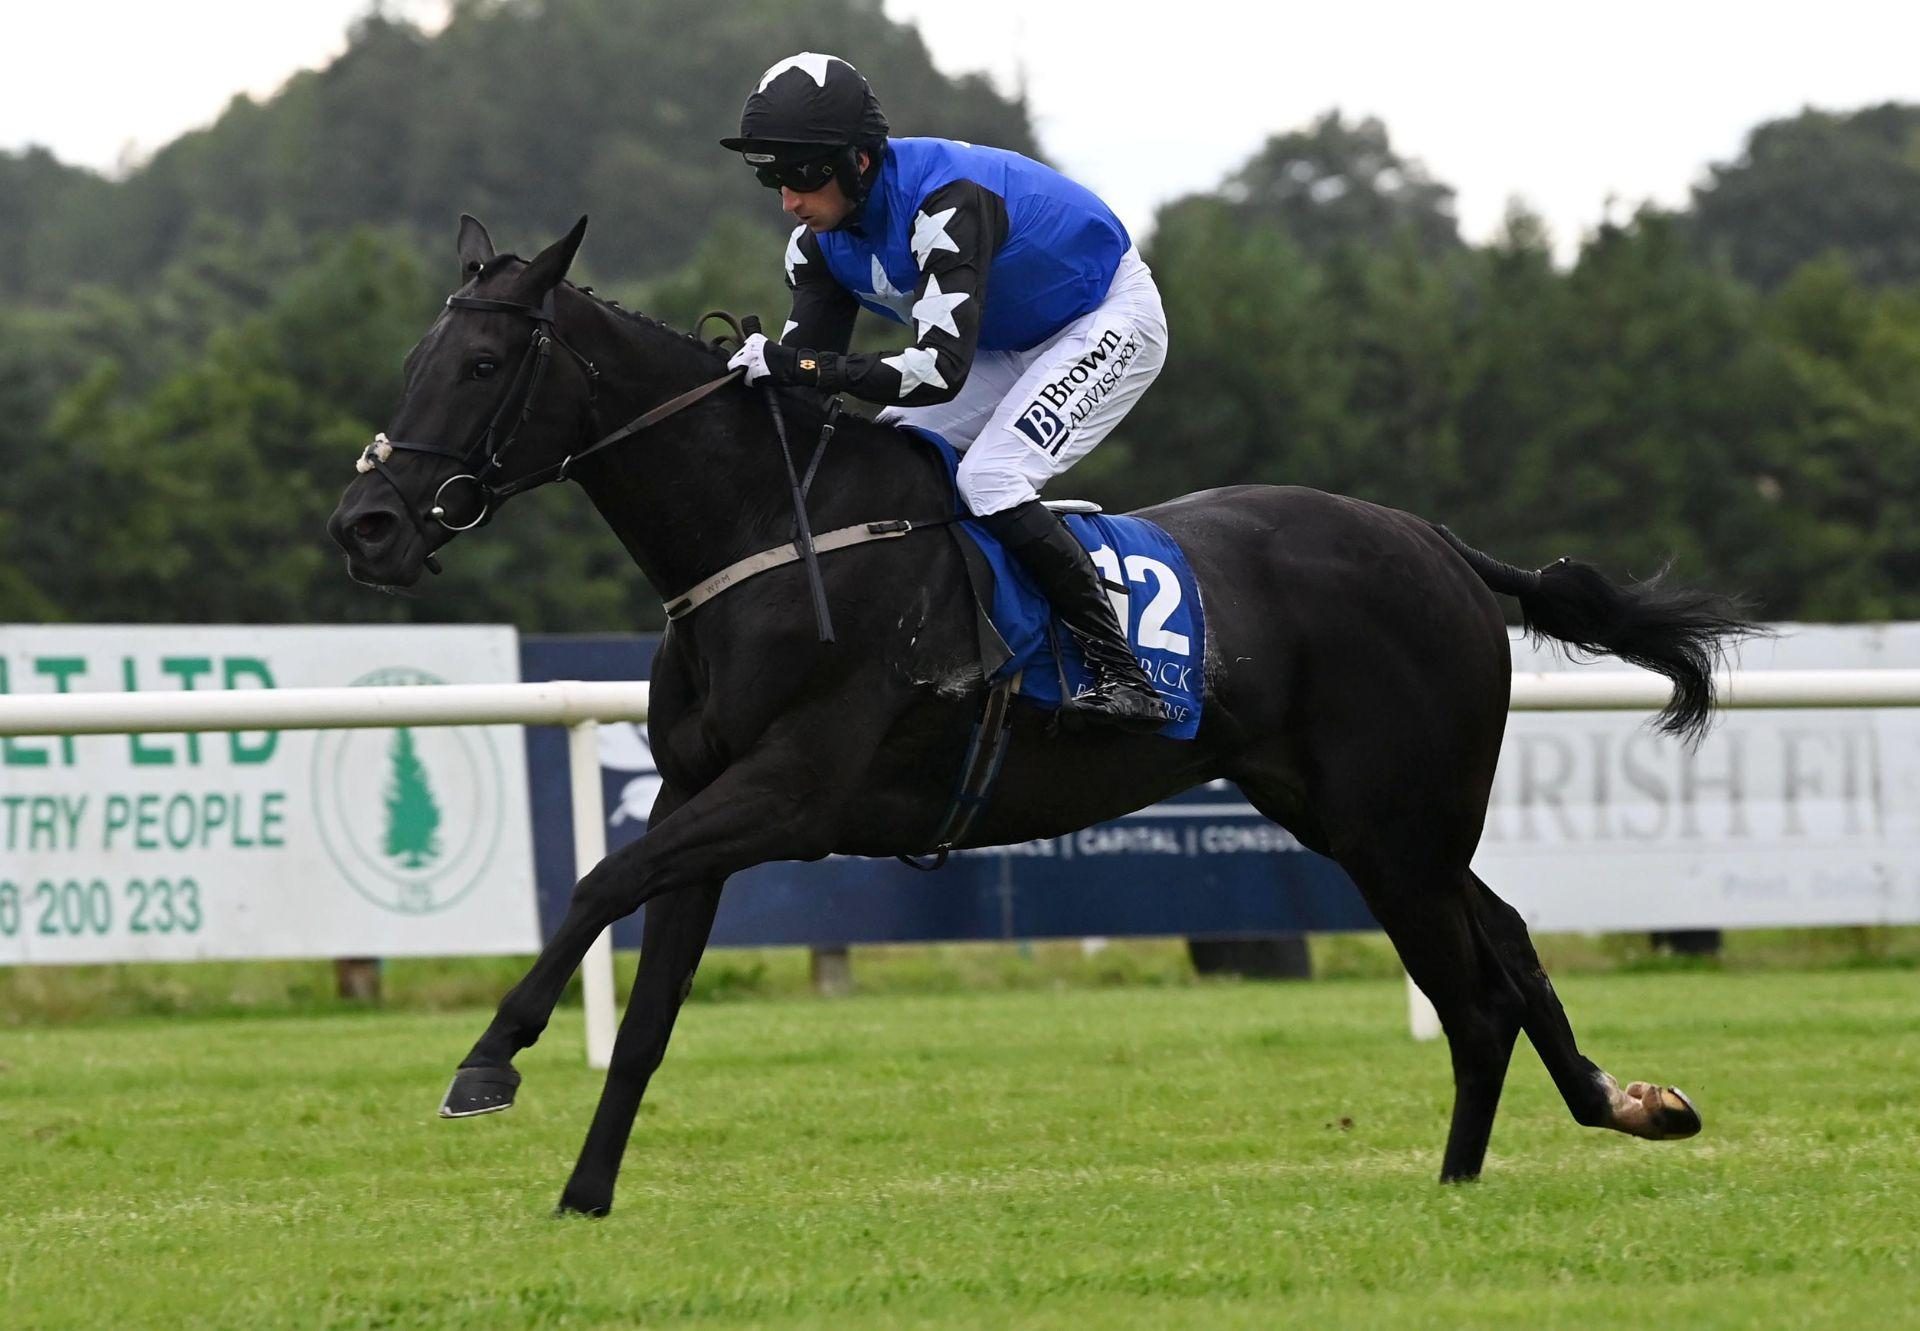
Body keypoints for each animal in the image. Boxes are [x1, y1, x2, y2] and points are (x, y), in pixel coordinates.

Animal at [334, 215, 1758, 1213]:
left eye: (478, 361)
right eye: (411, 359)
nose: (369, 524)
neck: (767, 535)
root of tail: (1441, 543)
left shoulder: (786, 793)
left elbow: (592, 883)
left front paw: (489, 1060)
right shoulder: (702, 794)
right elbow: (645, 1013)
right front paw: (584, 1194)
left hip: (1394, 824)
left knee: (1473, 989)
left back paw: (1473, 1178)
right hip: (1361, 816)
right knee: (1503, 946)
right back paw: (1618, 1108)